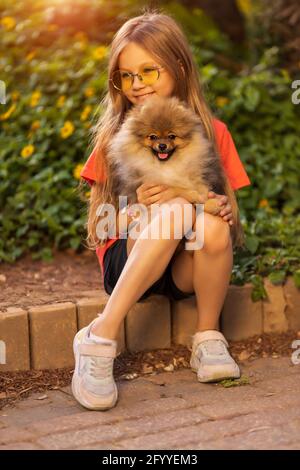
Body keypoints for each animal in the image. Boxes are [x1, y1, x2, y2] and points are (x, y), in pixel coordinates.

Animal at [106, 96, 245, 250]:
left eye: (172, 136)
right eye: (152, 137)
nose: (162, 145)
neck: (168, 166)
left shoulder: (197, 178)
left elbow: (201, 191)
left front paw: (212, 203)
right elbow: (181, 191)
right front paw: (202, 199)